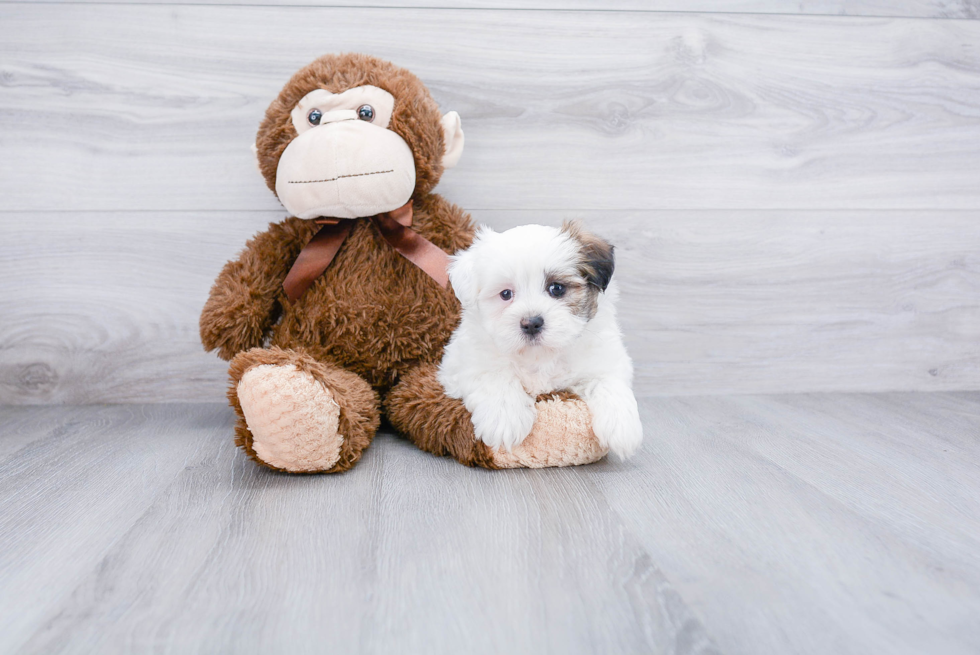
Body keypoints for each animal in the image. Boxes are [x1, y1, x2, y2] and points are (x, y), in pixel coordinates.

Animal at [442, 223, 644, 458]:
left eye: (556, 288)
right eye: (505, 294)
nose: (531, 323)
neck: (540, 355)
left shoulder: (605, 359)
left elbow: (609, 381)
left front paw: (622, 426)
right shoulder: (461, 365)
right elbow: (494, 376)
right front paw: (504, 419)